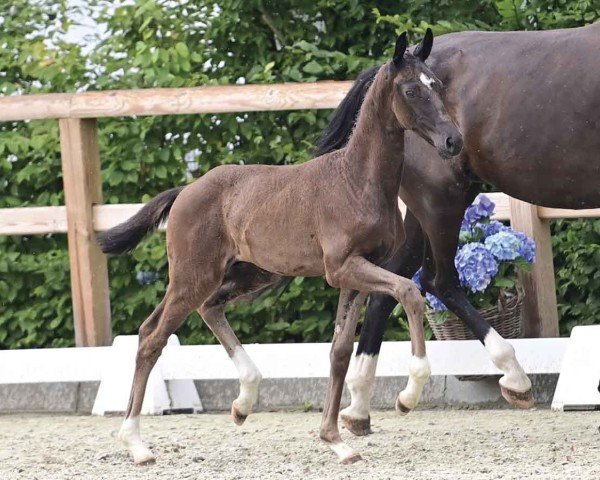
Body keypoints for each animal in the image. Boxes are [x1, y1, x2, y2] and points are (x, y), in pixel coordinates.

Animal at [314, 22, 600, 436]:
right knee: (439, 282)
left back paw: (364, 407)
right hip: (440, 202)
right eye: (415, 91)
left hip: (424, 212)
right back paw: (514, 377)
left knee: (392, 287)